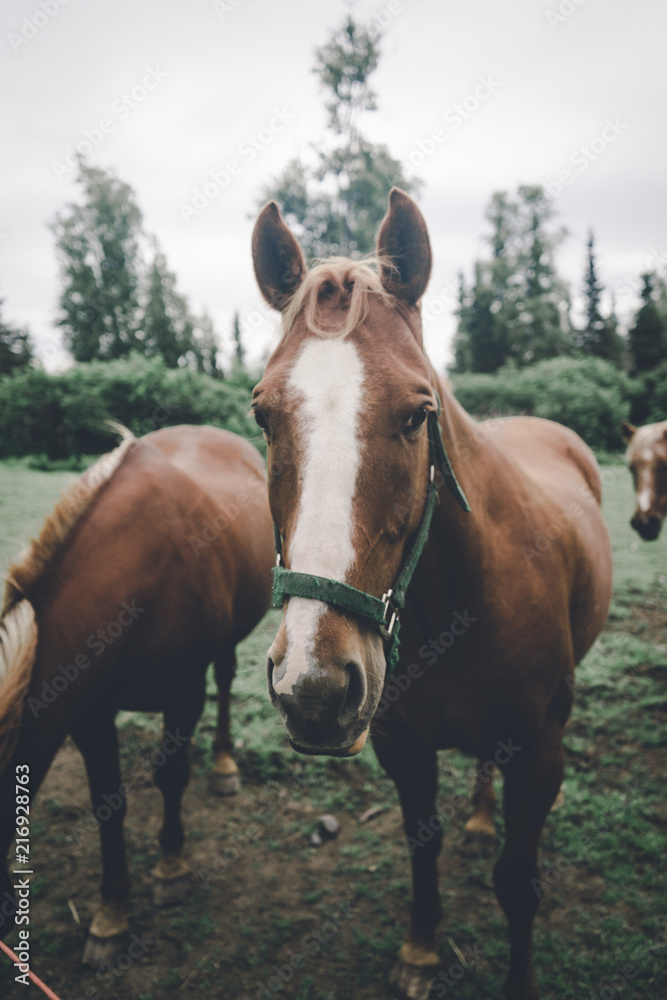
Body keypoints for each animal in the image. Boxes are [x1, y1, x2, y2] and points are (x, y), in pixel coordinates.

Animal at [0, 424, 273, 964]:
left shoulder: (184, 692)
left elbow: (171, 775)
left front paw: (172, 868)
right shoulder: (88, 711)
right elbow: (108, 801)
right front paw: (111, 916)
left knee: (226, 679)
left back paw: (224, 766)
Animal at [250, 189, 613, 1000]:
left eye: (419, 414)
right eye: (262, 414)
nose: (315, 685)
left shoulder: (539, 754)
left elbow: (517, 883)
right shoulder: (402, 746)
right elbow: (424, 844)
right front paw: (420, 952)